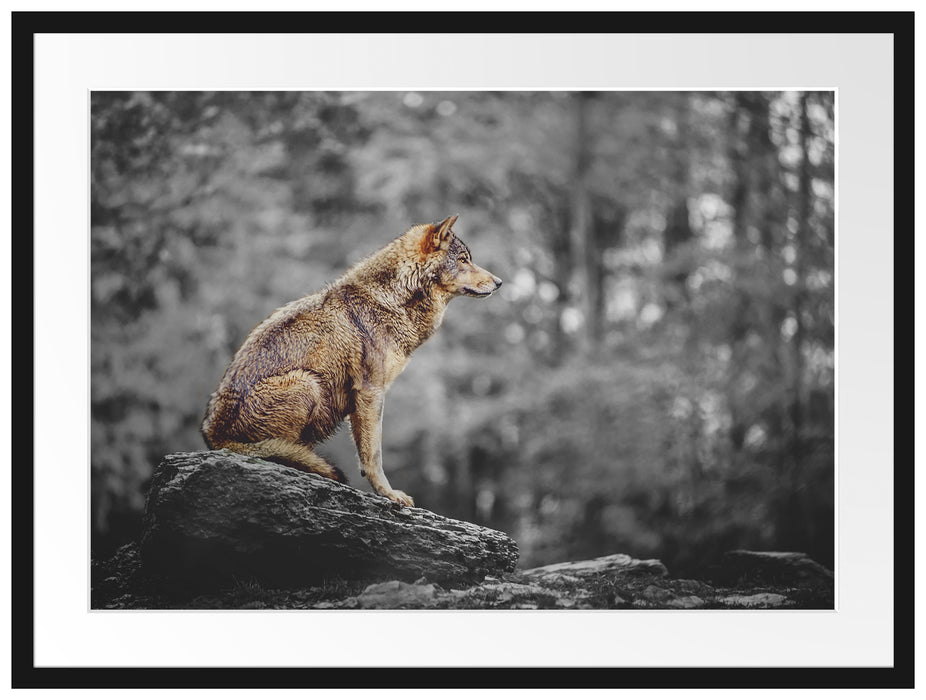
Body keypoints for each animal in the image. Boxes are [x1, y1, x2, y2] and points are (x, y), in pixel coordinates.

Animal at [200, 216, 504, 506]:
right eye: (463, 260)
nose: (500, 282)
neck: (391, 300)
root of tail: (214, 437)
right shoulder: (371, 392)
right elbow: (373, 454)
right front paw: (389, 494)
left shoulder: (363, 399)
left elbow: (366, 452)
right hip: (307, 383)